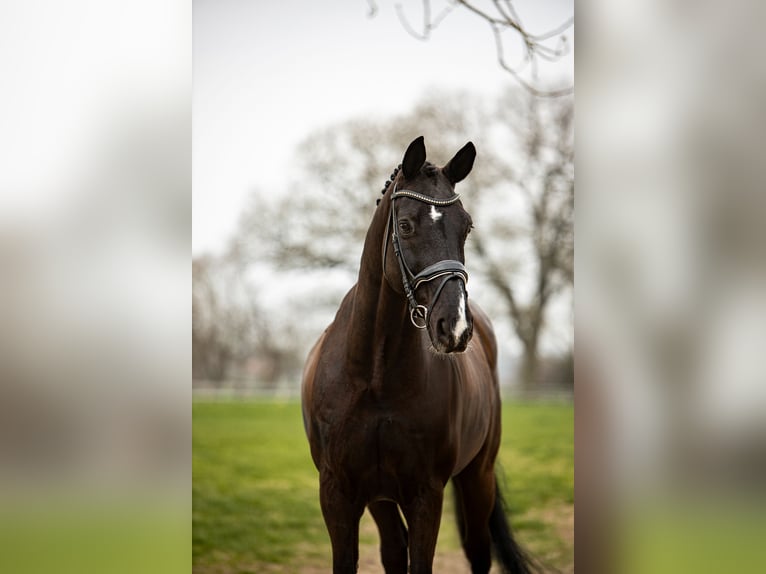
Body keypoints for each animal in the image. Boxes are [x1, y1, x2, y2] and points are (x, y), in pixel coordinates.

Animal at [301, 136, 535, 574]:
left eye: (466, 226)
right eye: (407, 225)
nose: (455, 327)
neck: (373, 378)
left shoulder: (427, 494)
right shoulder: (339, 494)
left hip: (477, 476)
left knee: (478, 550)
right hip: (381, 498)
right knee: (394, 549)